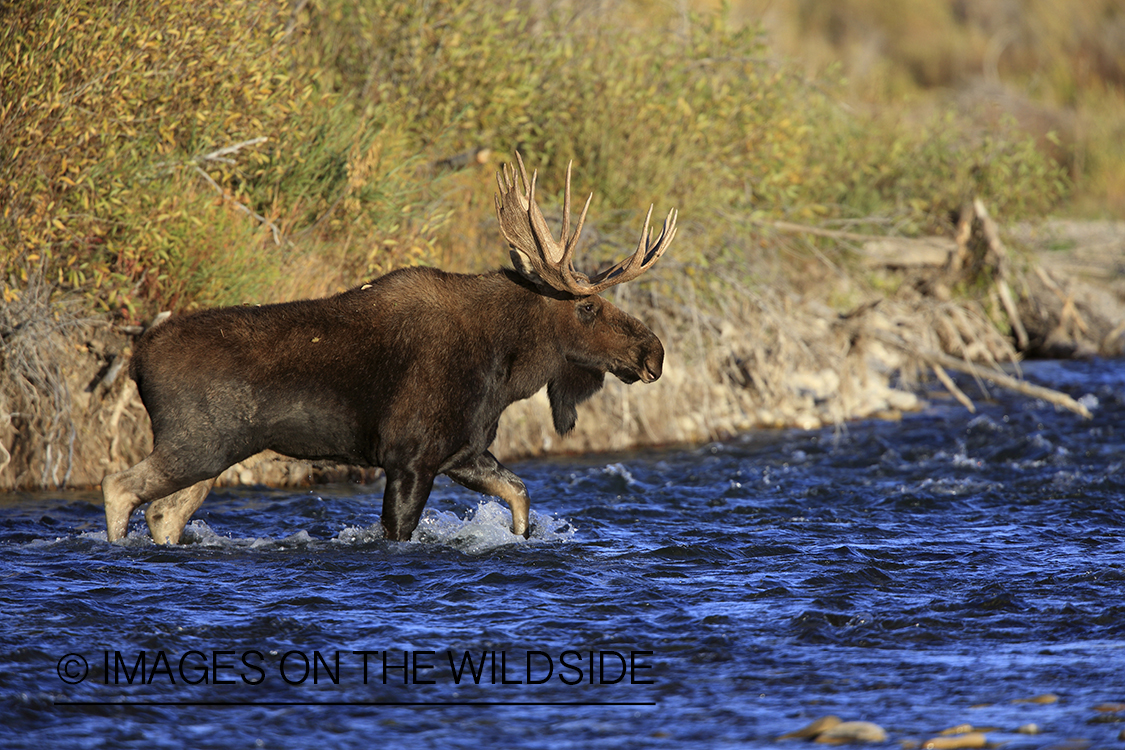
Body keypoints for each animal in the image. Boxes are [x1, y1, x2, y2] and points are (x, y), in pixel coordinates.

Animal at [103, 157, 675, 546]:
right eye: (589, 308)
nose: (655, 353)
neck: (507, 370)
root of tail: (136, 360)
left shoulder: (462, 451)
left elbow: (520, 494)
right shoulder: (411, 458)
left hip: (215, 455)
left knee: (163, 514)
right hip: (196, 443)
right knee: (118, 485)